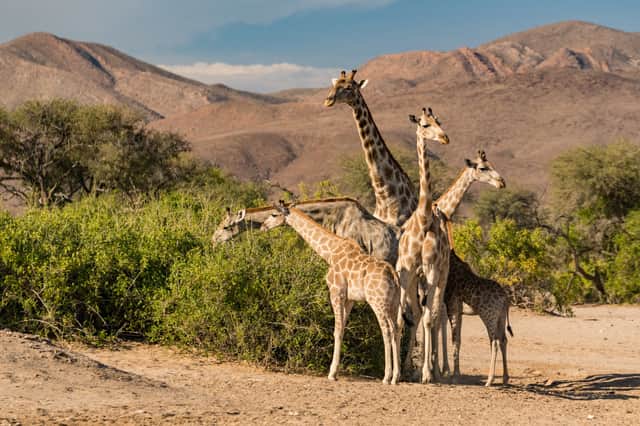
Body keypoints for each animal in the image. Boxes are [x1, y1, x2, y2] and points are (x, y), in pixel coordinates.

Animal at [261, 203, 402, 384]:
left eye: (273, 214)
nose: (263, 227)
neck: (330, 252)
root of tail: (393, 275)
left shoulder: (336, 292)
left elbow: (336, 330)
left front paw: (332, 373)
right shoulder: (349, 299)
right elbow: (342, 329)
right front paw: (334, 371)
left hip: (377, 301)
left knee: (386, 330)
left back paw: (387, 376)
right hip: (393, 302)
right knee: (397, 329)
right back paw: (396, 377)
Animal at [445, 251, 513, 386]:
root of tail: (505, 298)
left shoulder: (452, 308)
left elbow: (454, 339)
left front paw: (454, 377)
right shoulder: (459, 312)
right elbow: (458, 340)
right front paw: (456, 375)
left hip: (488, 315)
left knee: (494, 342)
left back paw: (489, 380)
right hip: (500, 317)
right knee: (503, 340)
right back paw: (505, 378)